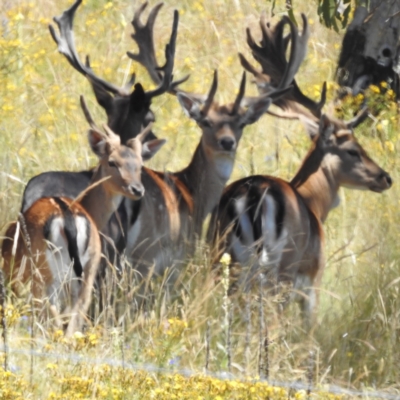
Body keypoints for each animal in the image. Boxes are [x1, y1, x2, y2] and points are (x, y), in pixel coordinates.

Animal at [211, 13, 392, 324]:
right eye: (353, 150)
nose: (386, 177)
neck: (313, 202)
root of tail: (254, 195)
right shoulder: (312, 282)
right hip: (280, 268)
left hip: (221, 257)